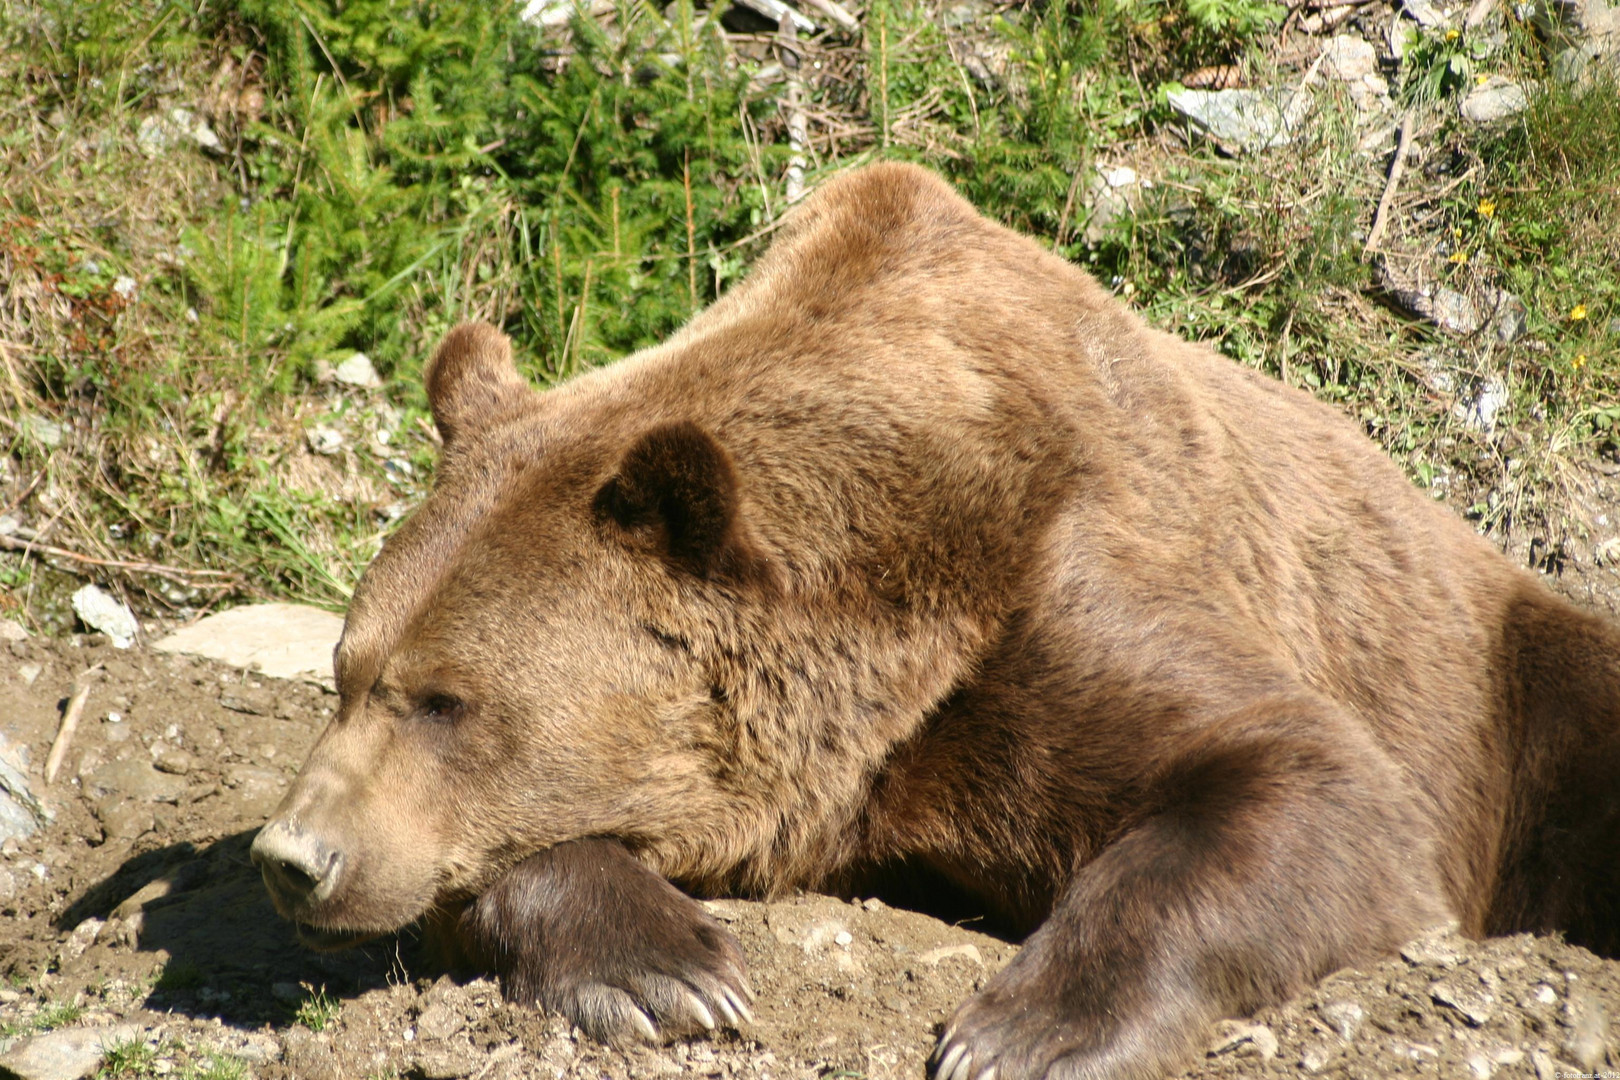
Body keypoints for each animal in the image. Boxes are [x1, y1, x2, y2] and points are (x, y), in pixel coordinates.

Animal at [252, 160, 1620, 1080]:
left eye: (446, 698)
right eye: (347, 672)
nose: (293, 857)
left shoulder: (1059, 593)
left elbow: (1310, 778)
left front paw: (1021, 1032)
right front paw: (669, 973)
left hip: (1513, 671)